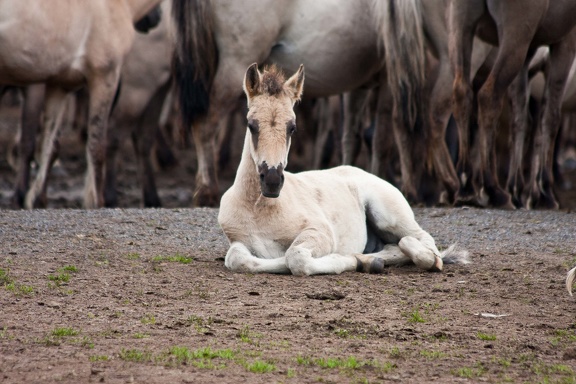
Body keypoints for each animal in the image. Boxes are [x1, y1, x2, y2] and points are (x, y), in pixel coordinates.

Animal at [0, 0, 162, 208]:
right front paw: (97, 202)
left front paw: (36, 199)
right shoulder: (105, 77)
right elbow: (96, 146)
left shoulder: (59, 85)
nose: (156, 18)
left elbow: (48, 146)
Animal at [169, 0, 426, 207]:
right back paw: (207, 190)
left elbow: (351, 136)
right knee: (206, 121)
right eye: (250, 126)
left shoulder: (361, 83)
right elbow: (388, 133)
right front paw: (406, 188)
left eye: (292, 128)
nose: (272, 181)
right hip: (235, 62)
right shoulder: (390, 73)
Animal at [218, 64, 470, 276]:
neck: (259, 209)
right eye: (251, 125)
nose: (271, 180)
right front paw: (359, 260)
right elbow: (237, 258)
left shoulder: (320, 232)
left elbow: (295, 257)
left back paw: (422, 258)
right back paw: (371, 261)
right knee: (394, 246)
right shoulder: (239, 242)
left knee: (420, 240)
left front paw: (345, 260)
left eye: (292, 127)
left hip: (389, 215)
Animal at [448, 0, 576, 210]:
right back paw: (492, 189)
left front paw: (517, 189)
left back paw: (466, 186)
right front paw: (544, 192)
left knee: (462, 93)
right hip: (514, 35)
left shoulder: (530, 50)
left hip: (460, 25)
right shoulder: (564, 43)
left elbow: (521, 119)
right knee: (489, 96)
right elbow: (550, 118)